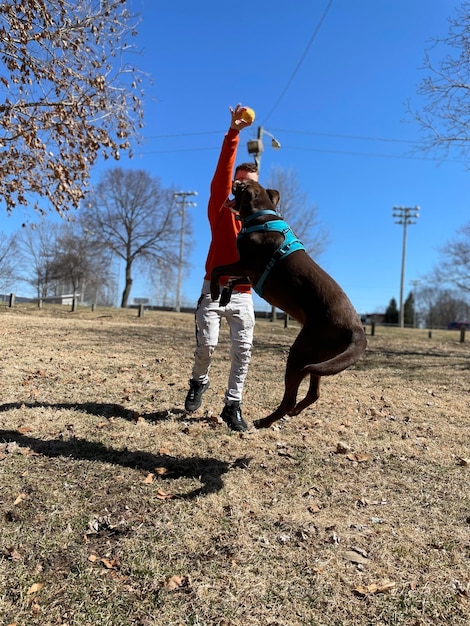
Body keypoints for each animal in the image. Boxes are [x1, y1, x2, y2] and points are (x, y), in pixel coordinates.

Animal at [210, 178, 368, 426]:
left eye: (242, 185)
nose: (234, 181)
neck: (262, 216)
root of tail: (357, 328)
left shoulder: (247, 265)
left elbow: (219, 269)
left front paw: (215, 290)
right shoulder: (251, 275)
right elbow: (233, 280)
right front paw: (225, 294)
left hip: (300, 352)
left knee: (289, 399)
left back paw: (264, 421)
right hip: (320, 357)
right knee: (313, 393)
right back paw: (292, 413)